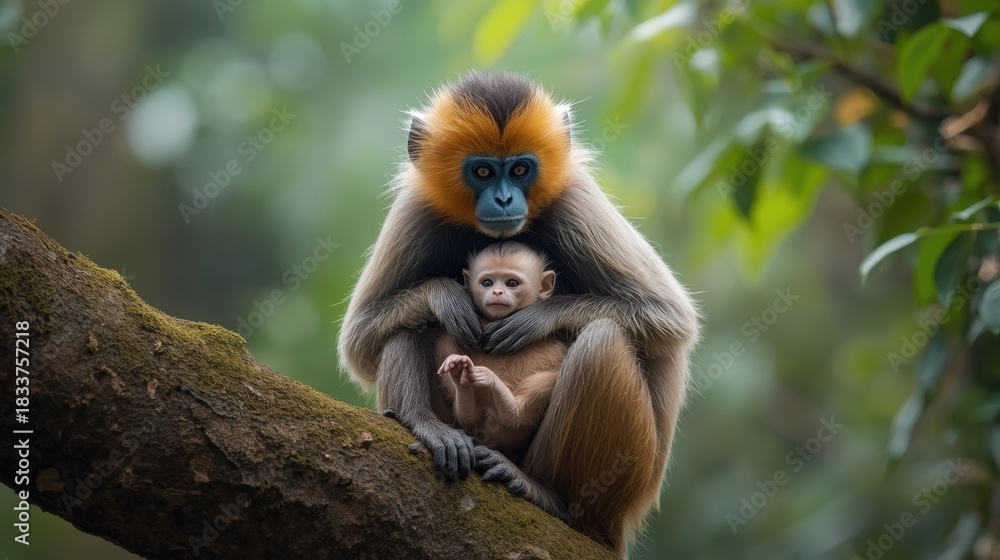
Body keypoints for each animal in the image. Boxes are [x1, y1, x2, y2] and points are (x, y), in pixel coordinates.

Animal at [436, 241, 565, 457]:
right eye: (487, 283)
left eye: (511, 283)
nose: (497, 292)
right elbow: (465, 420)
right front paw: (458, 371)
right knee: (470, 417)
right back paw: (460, 376)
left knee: (516, 417)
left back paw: (508, 405)